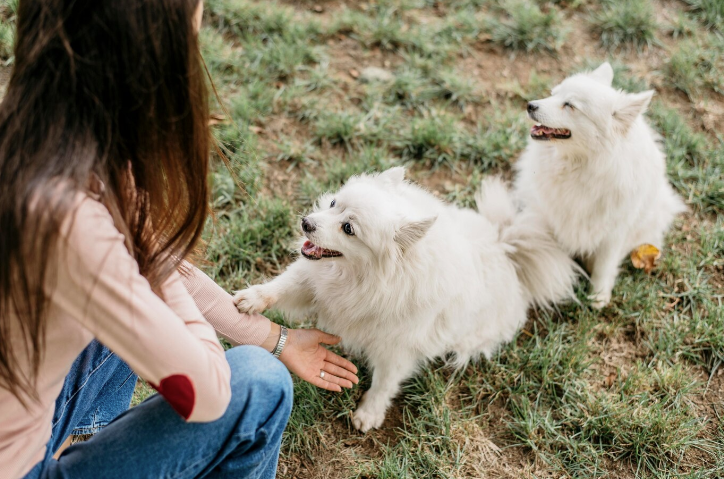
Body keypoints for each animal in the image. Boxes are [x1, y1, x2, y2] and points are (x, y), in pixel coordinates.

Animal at [235, 167, 580, 434]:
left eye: (348, 229)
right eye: (333, 203)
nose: (306, 222)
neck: (367, 279)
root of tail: (506, 248)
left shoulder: (397, 346)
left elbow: (384, 382)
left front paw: (369, 413)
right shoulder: (313, 282)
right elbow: (282, 286)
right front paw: (251, 300)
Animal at [516, 62, 684, 308]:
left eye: (570, 105)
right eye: (554, 94)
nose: (530, 105)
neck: (581, 167)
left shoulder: (613, 231)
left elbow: (605, 265)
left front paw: (598, 296)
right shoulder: (552, 217)